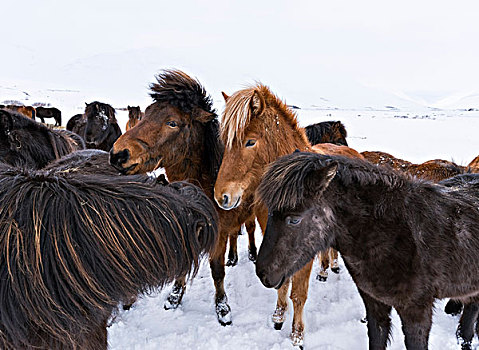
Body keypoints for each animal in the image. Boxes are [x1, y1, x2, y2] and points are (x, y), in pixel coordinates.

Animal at [215, 82, 364, 348]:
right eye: (225, 141)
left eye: (250, 142)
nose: (222, 196)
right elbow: (282, 283)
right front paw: (278, 316)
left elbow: (299, 293)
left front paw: (297, 335)